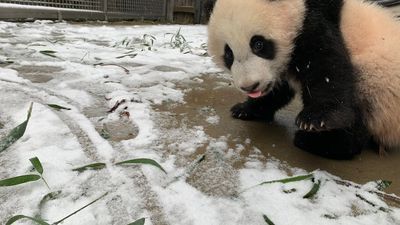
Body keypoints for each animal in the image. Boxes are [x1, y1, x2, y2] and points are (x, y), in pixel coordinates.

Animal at [206, 0, 400, 159]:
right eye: (228, 54)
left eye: (258, 44)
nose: (250, 86)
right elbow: (278, 90)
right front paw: (245, 109)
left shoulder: (312, 23)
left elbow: (326, 67)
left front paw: (314, 120)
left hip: (377, 80)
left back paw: (320, 142)